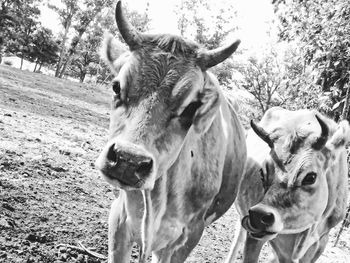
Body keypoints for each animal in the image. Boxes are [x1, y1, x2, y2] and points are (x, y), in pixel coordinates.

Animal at [226, 107, 348, 263]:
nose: (259, 216)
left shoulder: (319, 244)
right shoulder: (257, 236)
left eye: (311, 177)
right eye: (262, 173)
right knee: (239, 233)